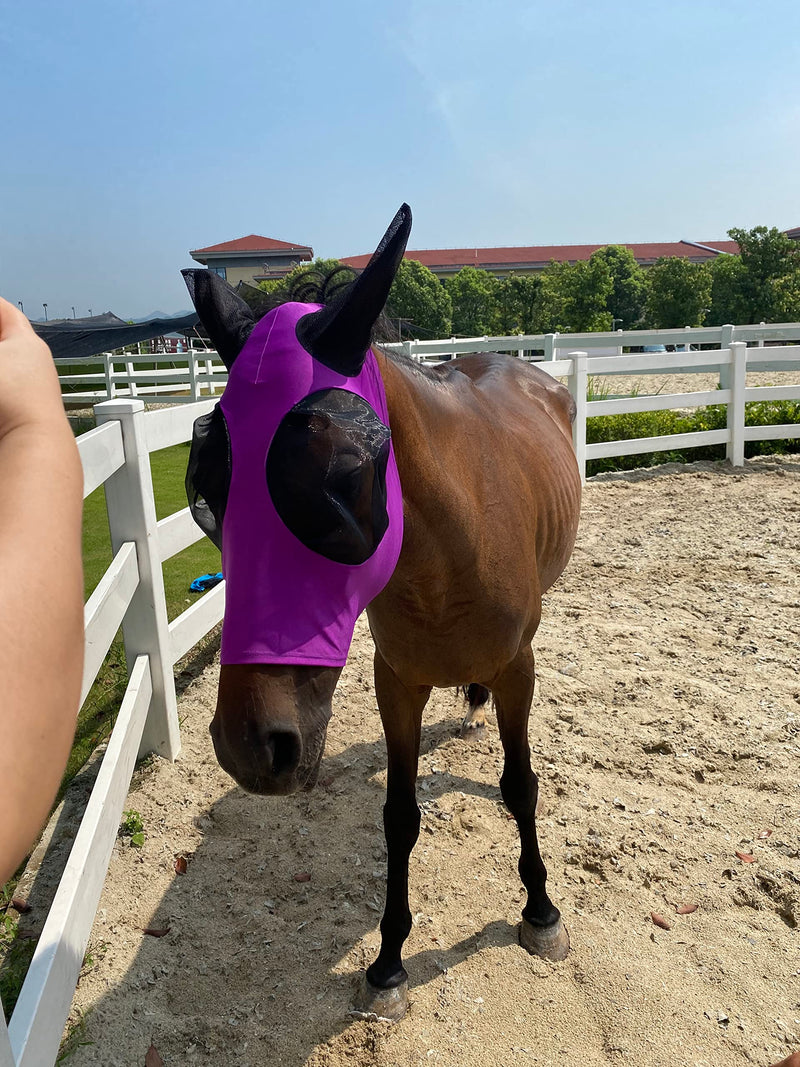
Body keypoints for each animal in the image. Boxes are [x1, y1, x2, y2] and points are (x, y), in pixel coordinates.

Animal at [182, 204, 582, 1021]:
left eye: (343, 483)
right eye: (206, 489)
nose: (250, 745)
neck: (446, 556)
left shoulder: (517, 668)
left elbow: (521, 785)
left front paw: (540, 910)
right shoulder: (396, 680)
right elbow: (399, 815)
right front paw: (389, 958)